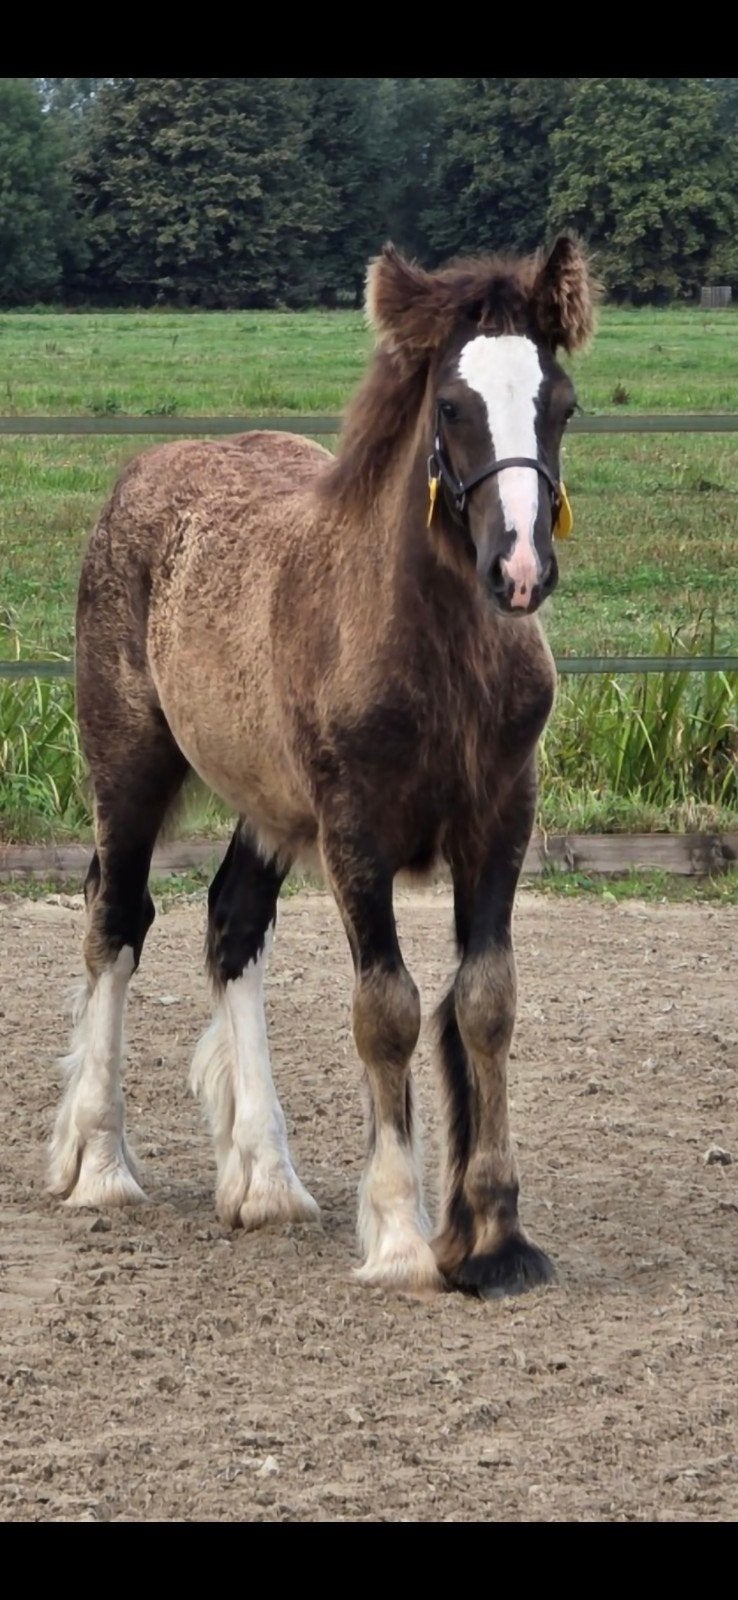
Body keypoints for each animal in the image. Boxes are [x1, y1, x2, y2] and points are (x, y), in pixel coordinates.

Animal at [48, 234, 597, 1299]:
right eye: (452, 406)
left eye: (560, 402)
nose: (519, 570)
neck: (439, 656)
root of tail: (140, 472)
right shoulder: (355, 833)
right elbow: (387, 1010)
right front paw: (400, 1237)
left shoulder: (501, 818)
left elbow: (485, 1003)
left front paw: (494, 1239)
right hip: (128, 766)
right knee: (114, 922)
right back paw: (98, 1163)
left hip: (267, 804)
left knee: (231, 924)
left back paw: (263, 1178)